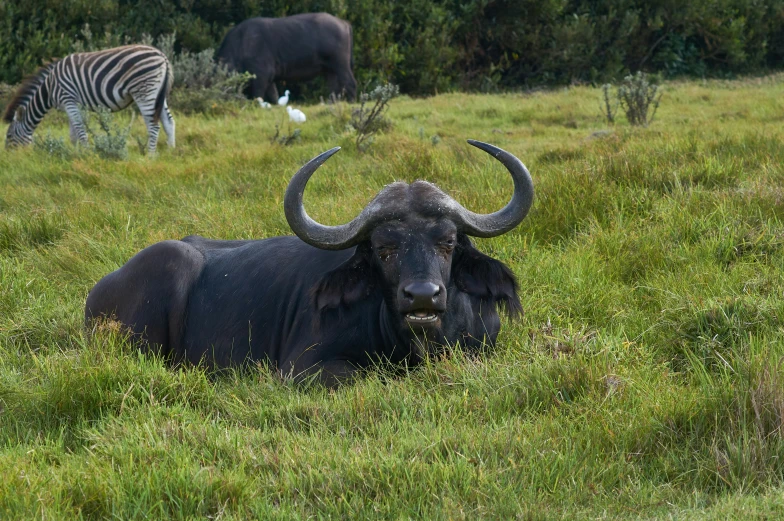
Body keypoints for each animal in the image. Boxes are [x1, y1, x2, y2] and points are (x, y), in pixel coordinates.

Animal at [3, 44, 175, 153]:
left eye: (9, 136)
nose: (8, 157)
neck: (49, 88)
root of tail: (162, 56)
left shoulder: (69, 99)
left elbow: (80, 129)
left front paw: (86, 154)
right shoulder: (71, 104)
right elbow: (73, 134)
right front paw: (74, 153)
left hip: (144, 91)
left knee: (154, 126)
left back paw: (150, 157)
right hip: (158, 94)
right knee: (169, 122)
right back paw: (170, 152)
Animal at [217, 12, 358, 101]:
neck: (241, 45)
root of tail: (343, 22)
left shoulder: (262, 75)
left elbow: (258, 95)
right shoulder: (270, 79)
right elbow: (274, 96)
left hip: (341, 64)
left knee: (350, 83)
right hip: (330, 70)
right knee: (334, 89)